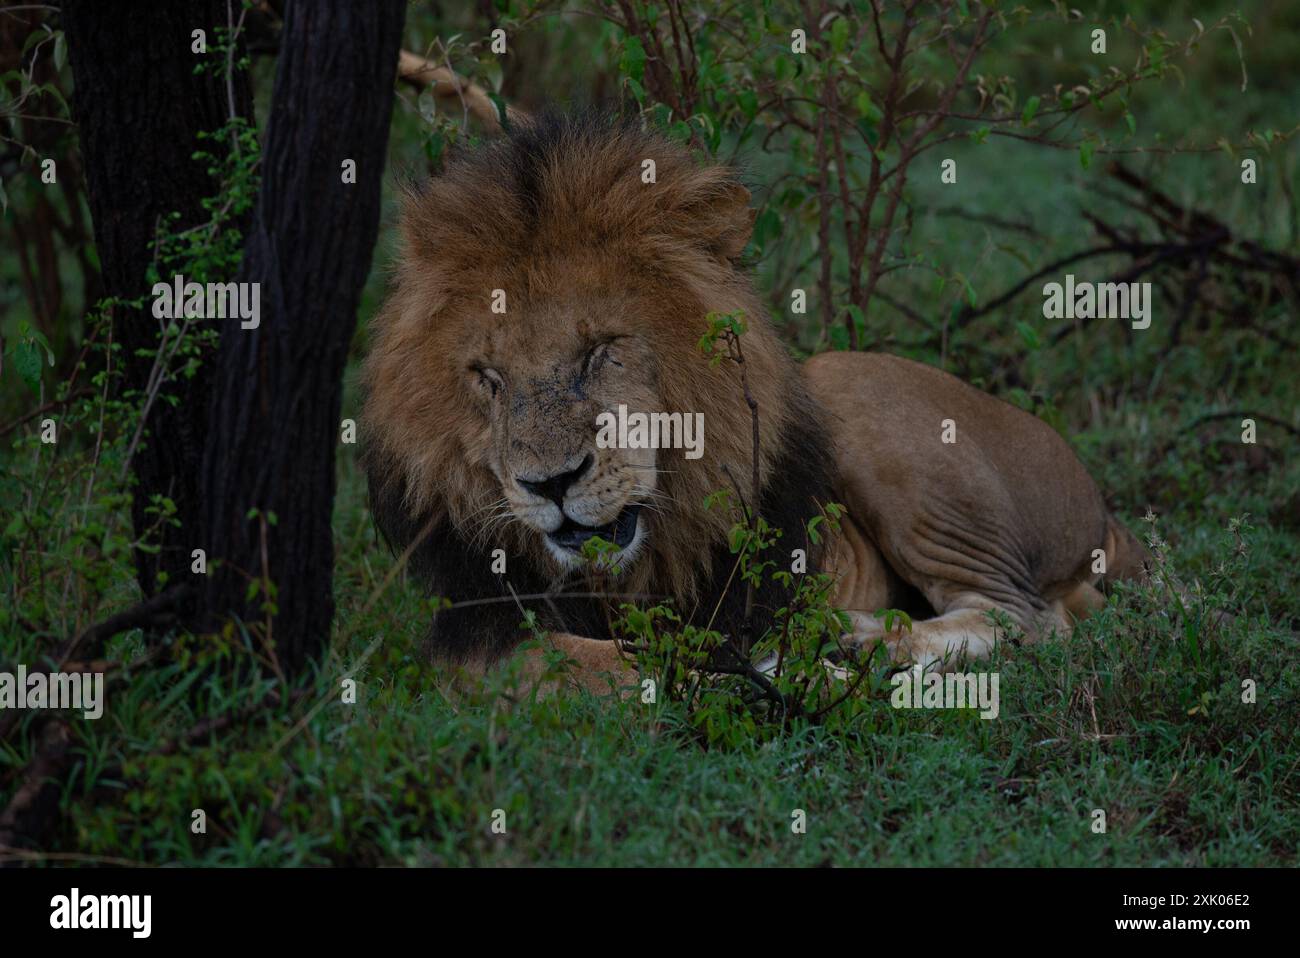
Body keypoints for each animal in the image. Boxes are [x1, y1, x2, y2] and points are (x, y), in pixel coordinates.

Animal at [361, 111, 1144, 691]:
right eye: (487, 376)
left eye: (601, 347)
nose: (549, 483)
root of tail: (1106, 513)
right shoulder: (471, 627)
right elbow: (591, 665)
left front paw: (785, 675)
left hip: (848, 383)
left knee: (1025, 618)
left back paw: (858, 643)